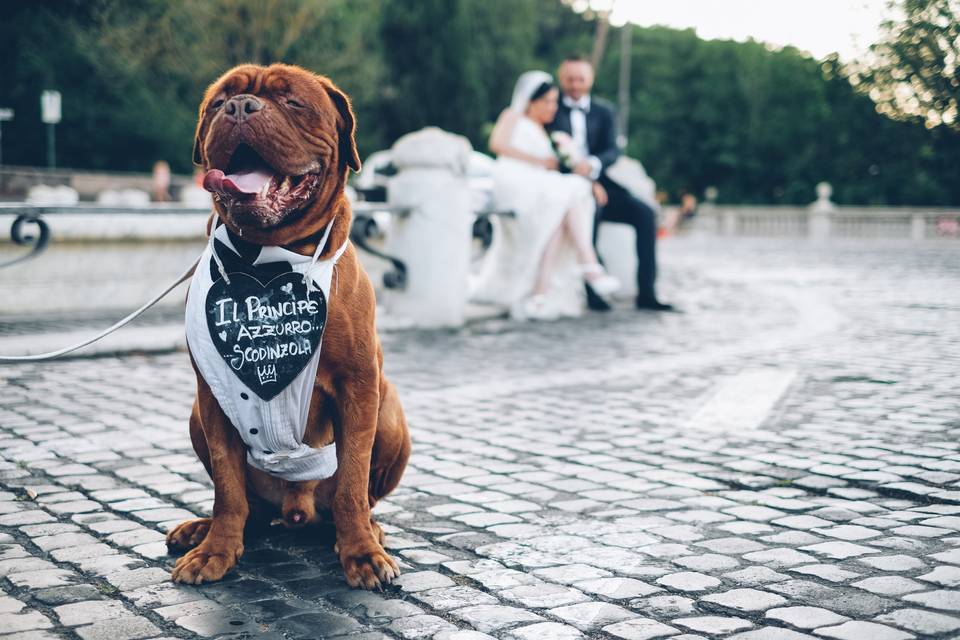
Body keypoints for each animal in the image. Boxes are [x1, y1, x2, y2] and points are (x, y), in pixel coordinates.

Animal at [168, 62, 412, 588]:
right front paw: (217, 549)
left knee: (360, 497)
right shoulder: (212, 396)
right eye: (218, 102)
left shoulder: (360, 386)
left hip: (390, 408)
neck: (267, 258)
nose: (240, 107)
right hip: (196, 416)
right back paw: (202, 528)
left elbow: (351, 480)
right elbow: (227, 486)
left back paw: (371, 528)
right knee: (250, 508)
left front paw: (361, 552)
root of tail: (296, 510)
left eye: (293, 101)